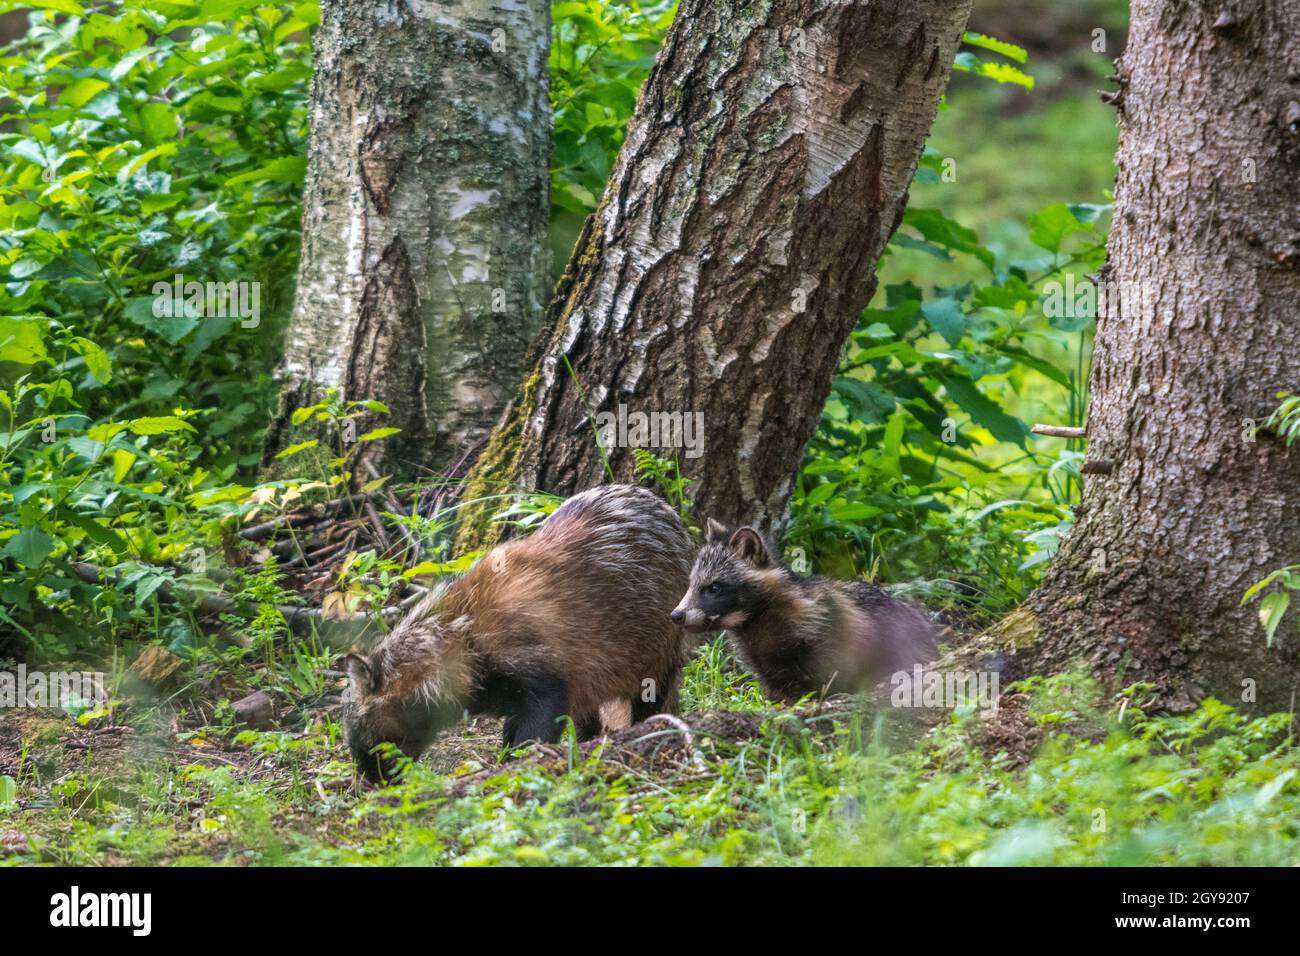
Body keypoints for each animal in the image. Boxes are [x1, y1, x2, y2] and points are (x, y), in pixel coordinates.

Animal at [342, 484, 692, 782]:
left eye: (359, 733)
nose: (371, 782)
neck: (463, 637)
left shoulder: (547, 688)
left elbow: (525, 744)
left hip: (655, 664)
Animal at [670, 520, 936, 704]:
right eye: (691, 584)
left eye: (713, 587)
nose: (676, 615)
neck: (755, 621)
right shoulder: (763, 662)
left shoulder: (831, 634)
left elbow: (831, 680)